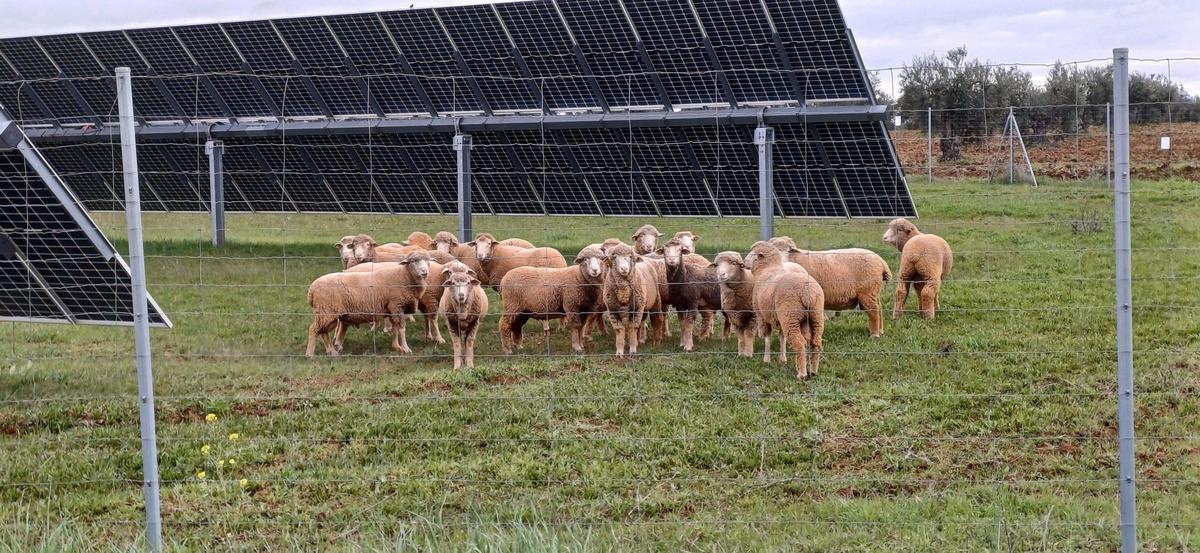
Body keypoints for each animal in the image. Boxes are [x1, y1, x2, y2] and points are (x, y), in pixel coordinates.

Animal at [744, 241, 825, 379]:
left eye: (753, 254)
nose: (743, 263)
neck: (768, 269)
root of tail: (807, 293)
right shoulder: (780, 318)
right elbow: (782, 338)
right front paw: (783, 359)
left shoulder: (762, 316)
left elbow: (768, 338)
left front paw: (766, 359)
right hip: (814, 315)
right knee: (816, 342)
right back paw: (813, 370)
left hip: (790, 315)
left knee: (799, 343)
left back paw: (802, 373)